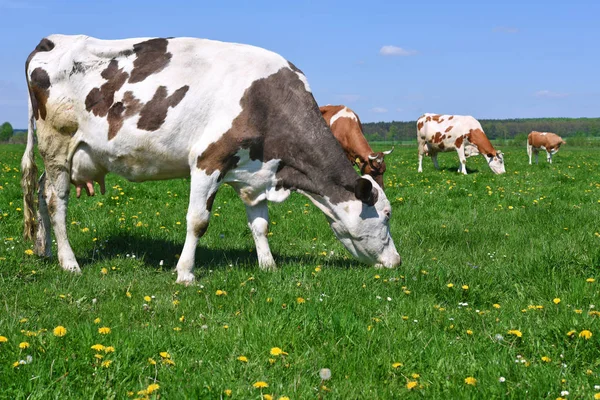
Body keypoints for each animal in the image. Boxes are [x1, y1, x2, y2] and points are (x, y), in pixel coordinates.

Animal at [21, 35, 400, 284]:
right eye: (386, 214)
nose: (395, 261)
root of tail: (51, 40)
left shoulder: (255, 174)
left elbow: (260, 224)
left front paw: (268, 266)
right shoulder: (208, 161)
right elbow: (198, 221)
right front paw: (185, 273)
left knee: (39, 191)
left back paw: (42, 249)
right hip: (57, 145)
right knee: (56, 201)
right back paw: (68, 262)